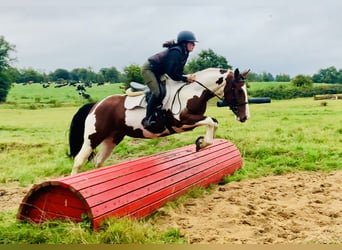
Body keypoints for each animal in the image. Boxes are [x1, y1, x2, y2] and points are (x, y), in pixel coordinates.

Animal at [69, 67, 250, 175]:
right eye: (238, 90)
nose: (245, 117)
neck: (192, 92)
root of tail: (96, 104)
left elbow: (213, 122)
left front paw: (201, 143)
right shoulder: (182, 122)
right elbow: (212, 121)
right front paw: (201, 143)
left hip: (112, 138)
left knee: (98, 161)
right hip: (93, 137)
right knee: (79, 160)